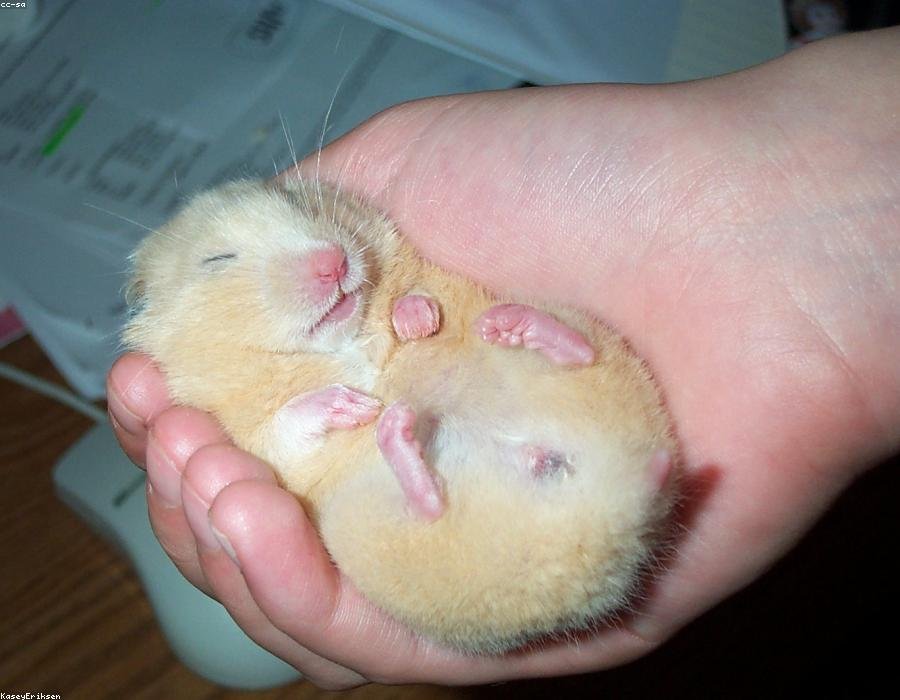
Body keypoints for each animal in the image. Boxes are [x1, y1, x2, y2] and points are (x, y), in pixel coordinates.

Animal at [123, 177, 677, 653]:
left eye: (297, 203)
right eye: (217, 260)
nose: (332, 262)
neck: (340, 344)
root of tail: (610, 515)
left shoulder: (420, 279)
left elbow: (416, 294)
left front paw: (413, 321)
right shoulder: (255, 441)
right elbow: (284, 426)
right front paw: (352, 403)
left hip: (603, 364)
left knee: (577, 350)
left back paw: (509, 329)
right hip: (380, 538)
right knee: (428, 505)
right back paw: (400, 429)